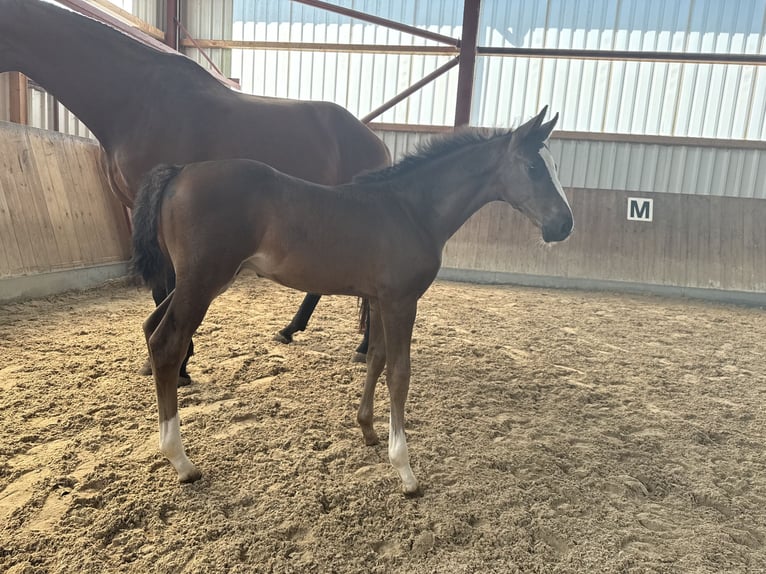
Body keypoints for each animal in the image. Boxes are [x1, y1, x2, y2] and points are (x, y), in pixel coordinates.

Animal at [0, 0, 389, 381]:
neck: (137, 101)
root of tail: (374, 141)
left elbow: (171, 287)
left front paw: (182, 365)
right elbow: (161, 290)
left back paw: (362, 348)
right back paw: (291, 330)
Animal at [131, 107, 574, 494]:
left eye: (553, 166)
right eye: (533, 167)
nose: (564, 225)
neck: (411, 209)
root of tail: (179, 172)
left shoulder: (378, 300)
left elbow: (375, 359)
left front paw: (369, 430)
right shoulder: (401, 301)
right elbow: (399, 373)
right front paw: (405, 471)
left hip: (193, 283)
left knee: (152, 329)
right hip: (202, 282)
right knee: (168, 343)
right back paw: (181, 461)